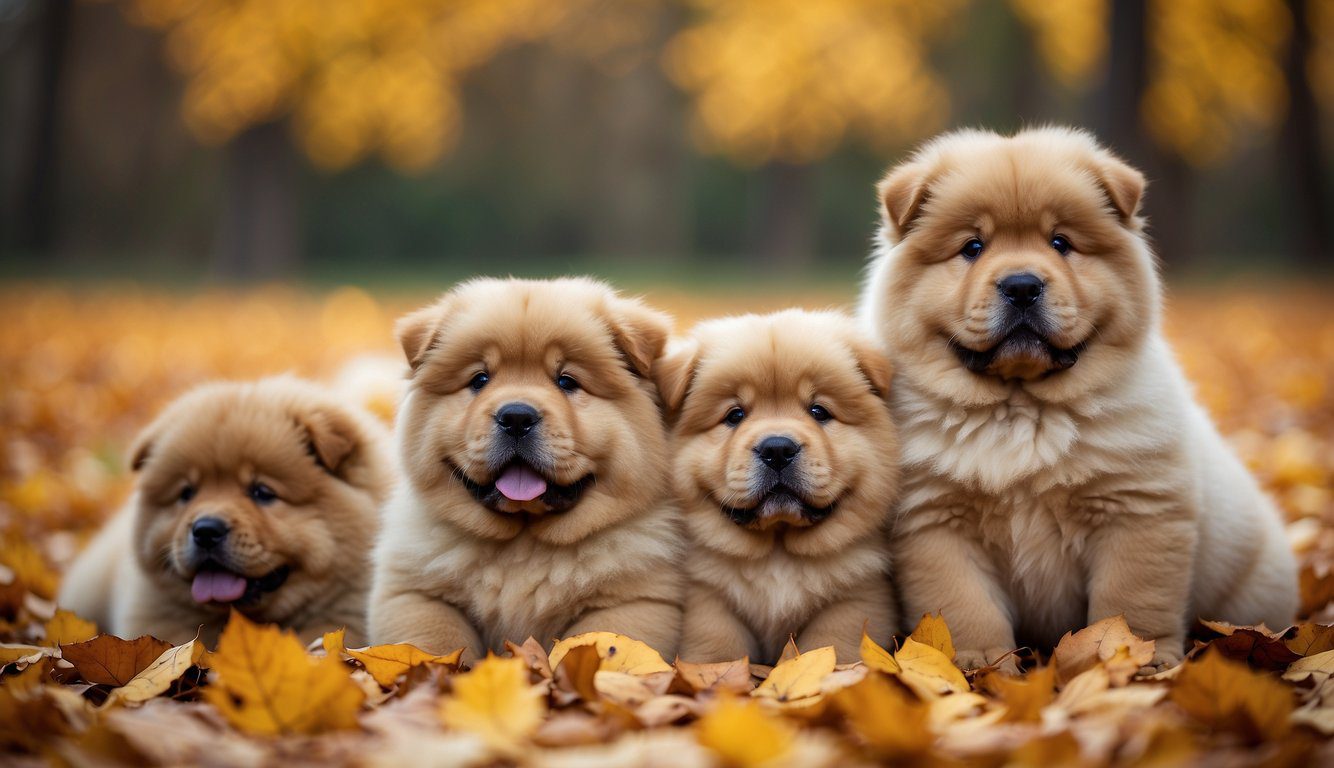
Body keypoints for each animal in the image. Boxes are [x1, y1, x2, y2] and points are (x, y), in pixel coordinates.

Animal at [373, 278, 688, 664]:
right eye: (479, 379)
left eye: (567, 382)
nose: (516, 417)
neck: (523, 549)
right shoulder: (416, 594)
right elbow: (433, 645)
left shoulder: (634, 601)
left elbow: (603, 643)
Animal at [661, 309, 901, 664]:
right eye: (734, 415)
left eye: (819, 411)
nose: (777, 449)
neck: (778, 554)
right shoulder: (706, 597)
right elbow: (716, 645)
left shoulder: (858, 597)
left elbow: (831, 645)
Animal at [859, 127, 1296, 672]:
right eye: (972, 247)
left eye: (1060, 243)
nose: (1022, 284)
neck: (1021, 409)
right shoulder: (937, 523)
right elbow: (963, 606)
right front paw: (980, 665)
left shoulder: (1136, 510)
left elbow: (1129, 600)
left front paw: (1133, 659)